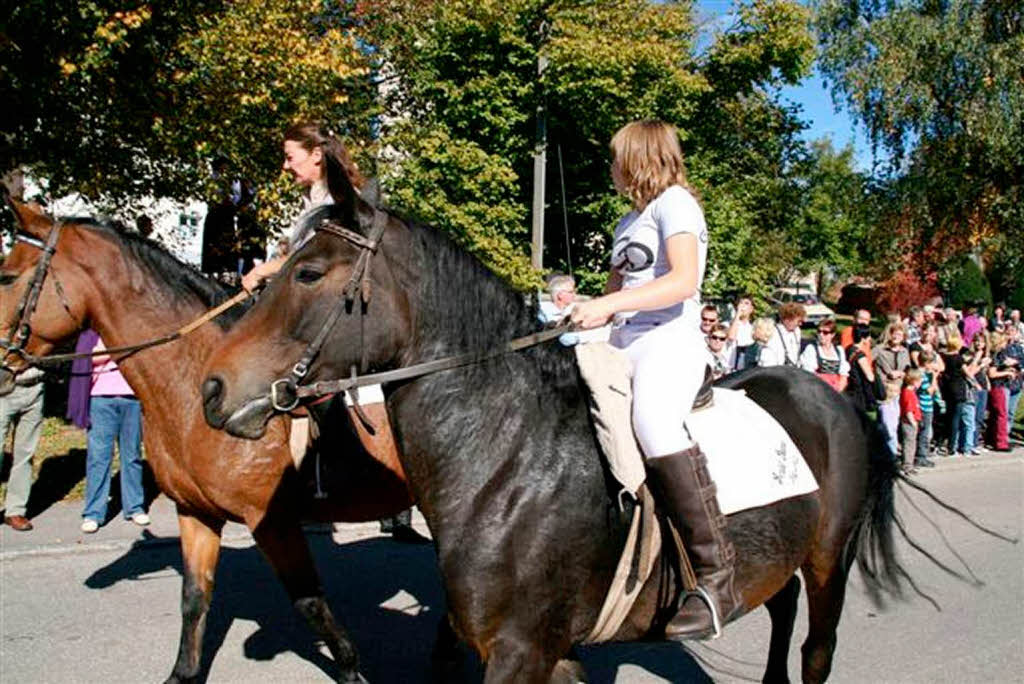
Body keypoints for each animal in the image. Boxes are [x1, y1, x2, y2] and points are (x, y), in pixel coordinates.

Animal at [3, 200, 415, 679]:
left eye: (7, 276)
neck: (191, 380)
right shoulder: (194, 513)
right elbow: (194, 598)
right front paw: (182, 673)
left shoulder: (272, 522)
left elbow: (310, 603)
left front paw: (350, 669)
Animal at [199, 194, 913, 679]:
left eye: (309, 273)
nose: (212, 388)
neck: (508, 457)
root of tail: (835, 396)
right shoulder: (537, 651)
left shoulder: (520, 651)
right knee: (780, 605)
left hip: (829, 562)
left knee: (816, 645)